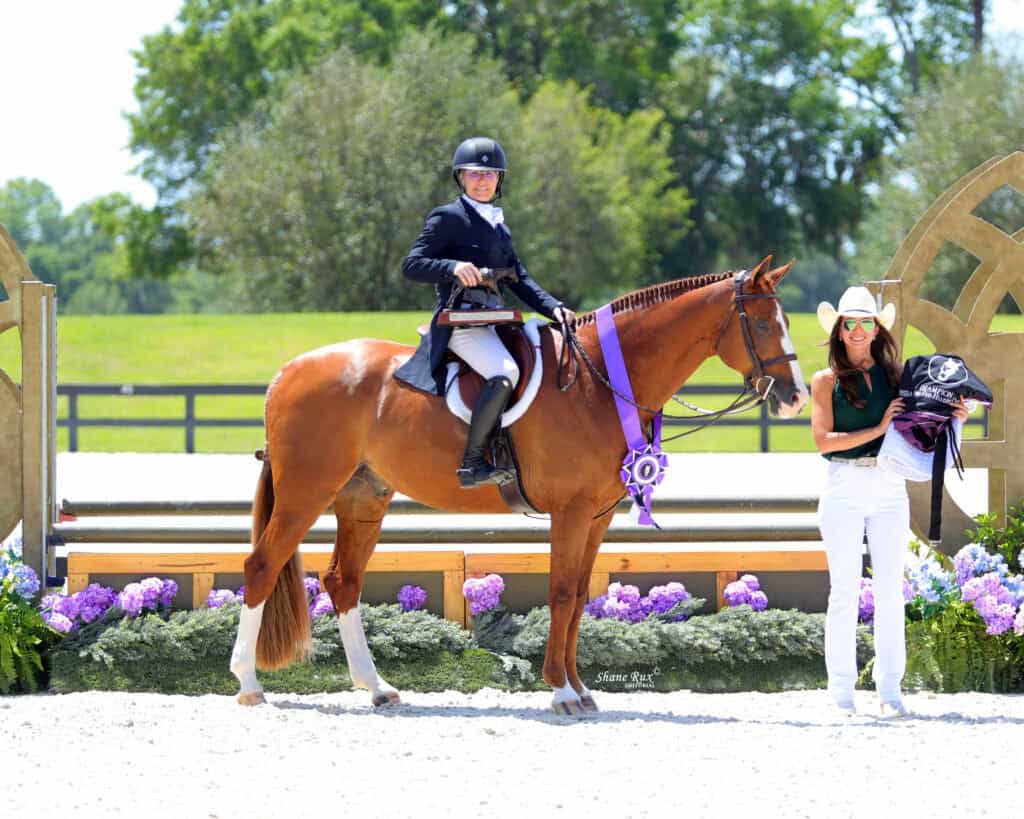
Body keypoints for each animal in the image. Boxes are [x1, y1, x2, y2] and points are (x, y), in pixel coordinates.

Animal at [229, 256, 808, 714]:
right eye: (761, 323)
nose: (797, 397)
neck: (599, 380)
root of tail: (288, 372)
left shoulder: (597, 515)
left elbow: (579, 595)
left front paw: (581, 689)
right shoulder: (570, 512)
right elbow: (560, 593)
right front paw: (561, 692)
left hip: (363, 498)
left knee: (342, 580)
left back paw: (376, 688)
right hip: (307, 490)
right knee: (261, 566)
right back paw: (250, 685)